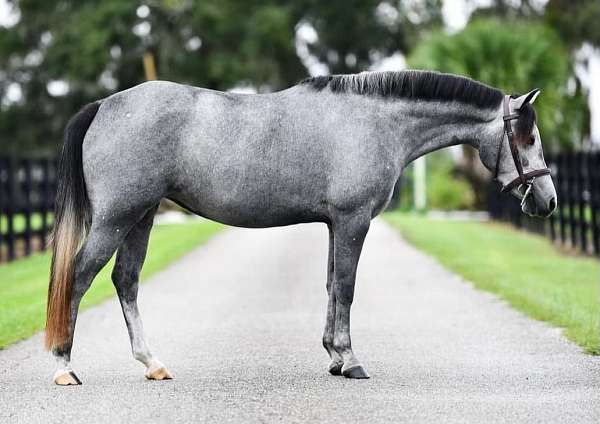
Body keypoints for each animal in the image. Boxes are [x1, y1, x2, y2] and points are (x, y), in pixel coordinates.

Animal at [44, 69, 556, 384]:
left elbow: (330, 285)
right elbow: (346, 288)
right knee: (79, 276)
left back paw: (152, 364)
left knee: (125, 280)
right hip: (117, 217)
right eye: (527, 136)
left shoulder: (334, 224)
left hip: (141, 217)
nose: (547, 202)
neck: (374, 121)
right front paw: (351, 361)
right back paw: (64, 366)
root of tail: (104, 105)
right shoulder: (353, 221)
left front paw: (333, 356)